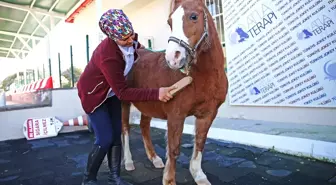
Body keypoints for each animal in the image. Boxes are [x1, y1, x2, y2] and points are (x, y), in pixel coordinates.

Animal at [121, 0, 228, 184]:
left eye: (194, 16)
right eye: (170, 22)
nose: (173, 58)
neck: (204, 76)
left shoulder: (208, 114)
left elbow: (200, 143)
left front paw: (198, 175)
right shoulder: (176, 115)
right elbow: (174, 149)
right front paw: (169, 180)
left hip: (147, 105)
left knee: (144, 126)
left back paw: (155, 159)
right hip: (124, 102)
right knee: (125, 129)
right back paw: (128, 162)